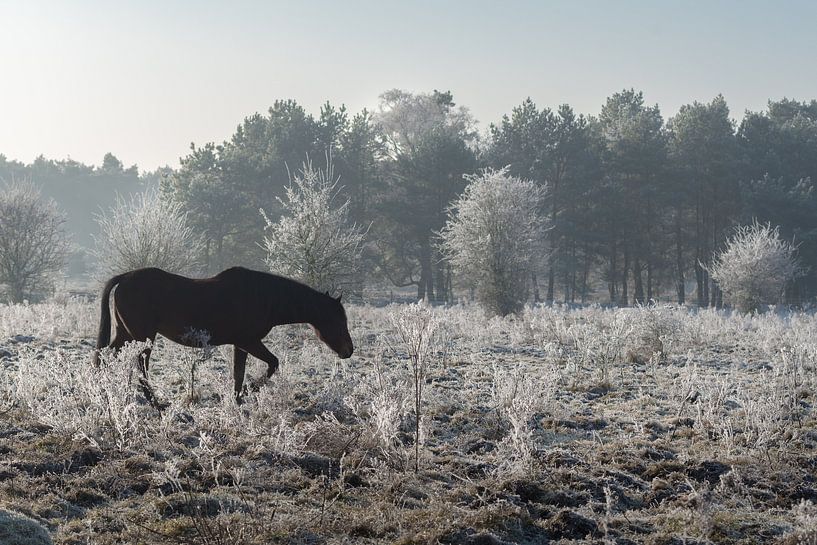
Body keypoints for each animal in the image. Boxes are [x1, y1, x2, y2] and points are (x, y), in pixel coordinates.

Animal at [92, 267, 353, 405]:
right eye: (338, 320)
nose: (349, 350)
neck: (264, 297)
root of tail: (125, 278)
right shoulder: (249, 342)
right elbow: (272, 363)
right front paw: (249, 391)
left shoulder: (241, 345)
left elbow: (239, 373)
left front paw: (238, 398)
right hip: (142, 337)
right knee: (141, 365)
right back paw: (155, 402)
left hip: (126, 334)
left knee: (105, 357)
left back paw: (102, 391)